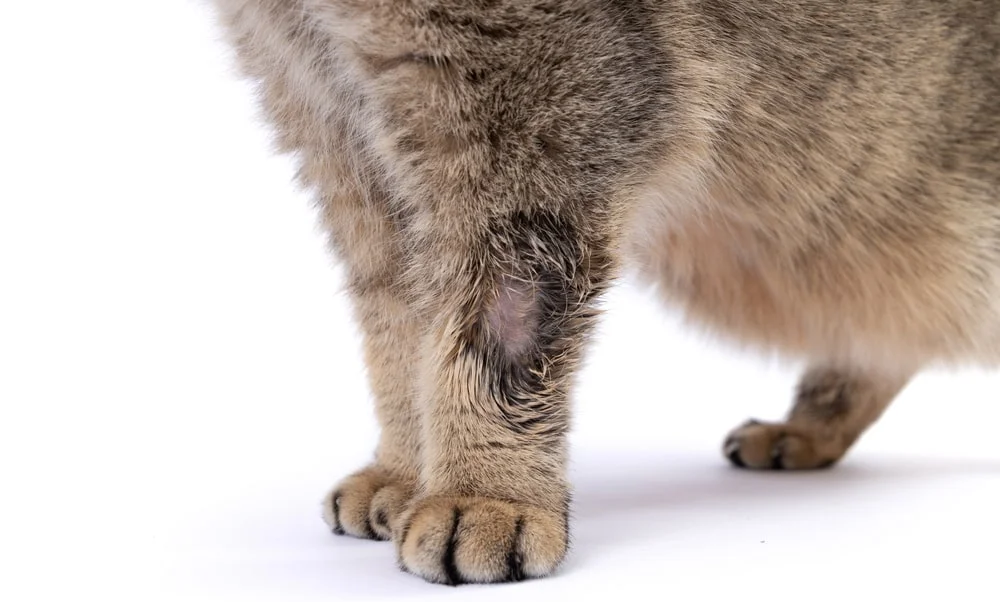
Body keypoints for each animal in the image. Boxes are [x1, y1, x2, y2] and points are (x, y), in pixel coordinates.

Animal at [211, 0, 1000, 580]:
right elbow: (401, 342)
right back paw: (805, 430)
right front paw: (405, 471)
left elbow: (496, 346)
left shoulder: (536, 139)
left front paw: (483, 495)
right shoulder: (346, 144)